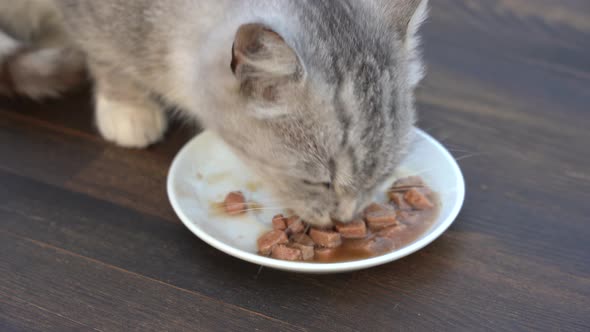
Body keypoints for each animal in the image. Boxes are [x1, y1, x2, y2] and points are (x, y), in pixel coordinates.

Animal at [1, 0, 430, 227]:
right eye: (319, 181)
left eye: (383, 175)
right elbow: (105, 52)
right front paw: (126, 104)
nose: (345, 219)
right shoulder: (89, 13)